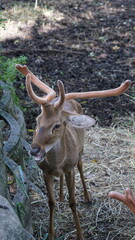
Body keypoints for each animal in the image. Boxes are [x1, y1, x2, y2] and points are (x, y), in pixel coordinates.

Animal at [15, 64, 131, 240]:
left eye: (56, 125)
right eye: (37, 120)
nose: (34, 149)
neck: (57, 163)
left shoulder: (70, 168)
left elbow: (73, 202)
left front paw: (80, 234)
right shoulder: (45, 171)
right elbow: (51, 202)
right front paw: (51, 233)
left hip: (80, 149)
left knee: (81, 167)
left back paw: (87, 197)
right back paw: (61, 194)